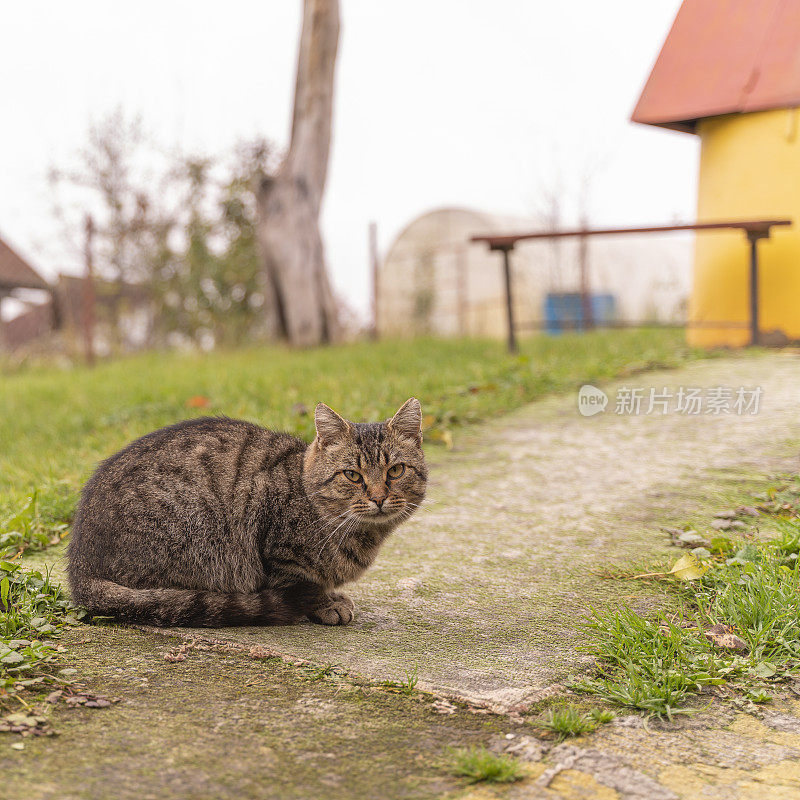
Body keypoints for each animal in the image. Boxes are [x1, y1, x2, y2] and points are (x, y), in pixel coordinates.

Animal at [69, 398, 424, 624]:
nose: (379, 498)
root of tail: (80, 566)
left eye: (395, 471)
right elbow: (298, 582)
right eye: (352, 475)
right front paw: (325, 604)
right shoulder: (278, 547)